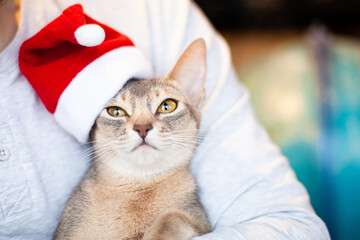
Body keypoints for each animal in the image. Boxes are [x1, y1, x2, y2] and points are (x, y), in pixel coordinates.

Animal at [53, 38, 211, 239]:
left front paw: (155, 234)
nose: (142, 128)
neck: (139, 186)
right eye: (116, 111)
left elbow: (172, 217)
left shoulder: (201, 222)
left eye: (167, 106)